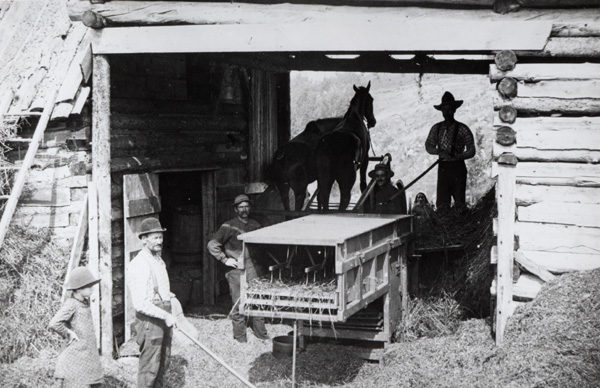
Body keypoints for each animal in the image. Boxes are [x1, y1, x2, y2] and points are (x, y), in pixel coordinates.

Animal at [314, 81, 376, 209]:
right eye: (371, 99)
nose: (373, 121)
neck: (355, 116)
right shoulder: (365, 160)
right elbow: (363, 185)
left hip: (324, 178)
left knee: (323, 197)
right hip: (346, 179)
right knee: (344, 199)